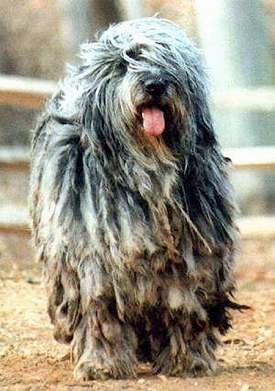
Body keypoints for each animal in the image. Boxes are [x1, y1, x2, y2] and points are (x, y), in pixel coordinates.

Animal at [29, 16, 242, 382]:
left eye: (169, 62)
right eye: (125, 62)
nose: (155, 84)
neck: (145, 168)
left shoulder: (189, 253)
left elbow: (183, 301)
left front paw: (186, 359)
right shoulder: (93, 258)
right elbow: (98, 309)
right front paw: (103, 364)